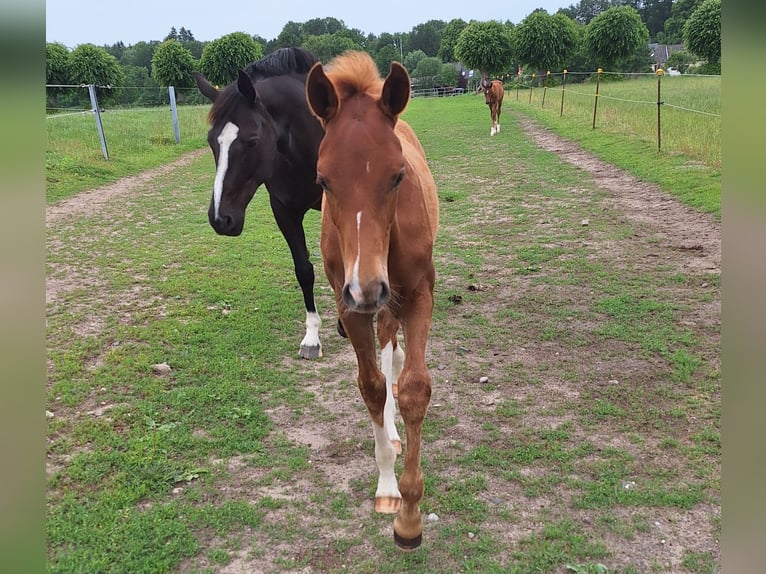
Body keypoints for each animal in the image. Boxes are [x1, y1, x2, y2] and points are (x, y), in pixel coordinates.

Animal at [193, 48, 326, 359]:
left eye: (252, 141)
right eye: (211, 141)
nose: (221, 219)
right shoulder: (284, 212)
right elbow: (304, 270)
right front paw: (312, 337)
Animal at [306, 51, 439, 550]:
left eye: (398, 175)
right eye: (323, 180)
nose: (368, 286)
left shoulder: (418, 295)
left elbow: (414, 388)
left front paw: (410, 519)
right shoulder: (349, 306)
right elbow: (372, 387)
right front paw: (387, 488)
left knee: (394, 350)